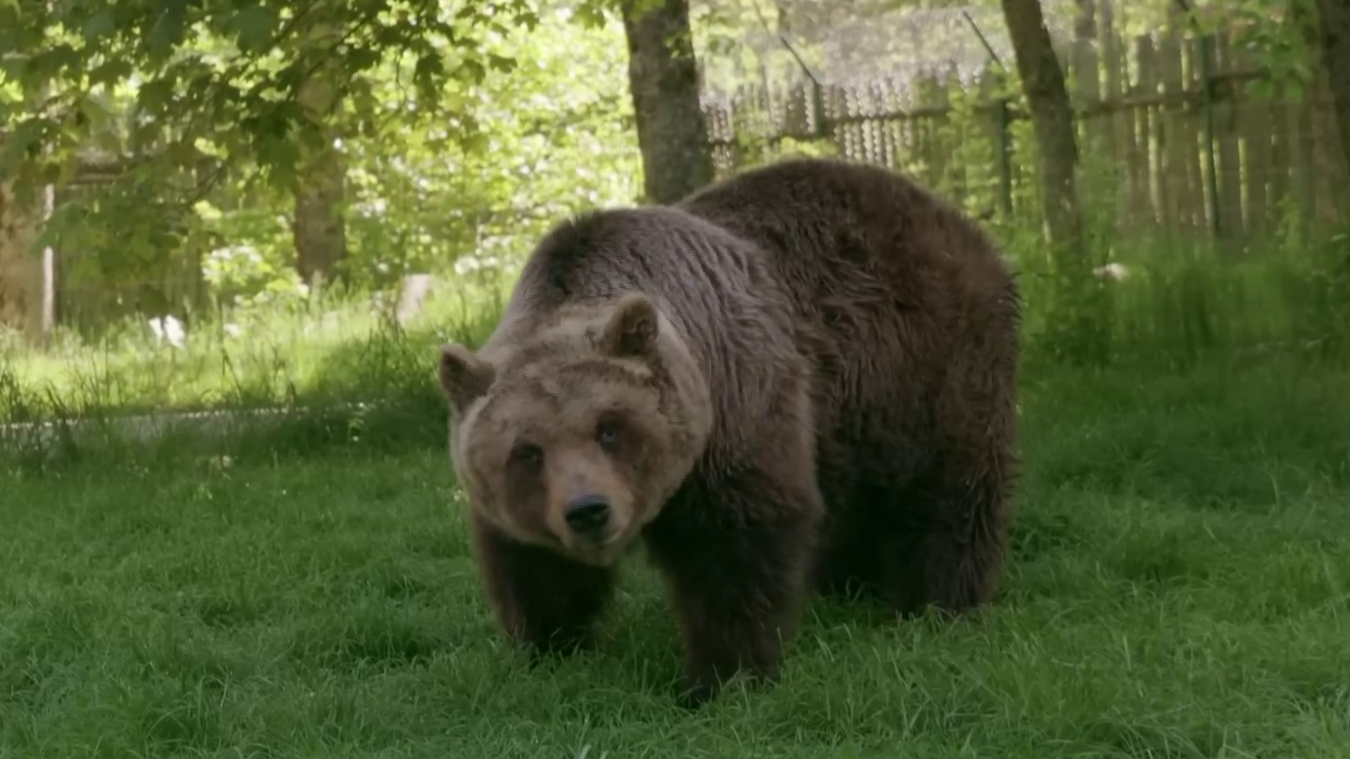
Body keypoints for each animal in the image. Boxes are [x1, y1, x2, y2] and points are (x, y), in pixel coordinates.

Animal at [437, 155, 1015, 702]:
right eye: (527, 451)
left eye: (610, 428)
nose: (588, 511)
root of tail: (947, 212)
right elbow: (534, 569)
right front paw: (548, 649)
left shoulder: (739, 402)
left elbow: (735, 551)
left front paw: (722, 677)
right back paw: (849, 581)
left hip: (932, 361)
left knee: (951, 489)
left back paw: (941, 603)